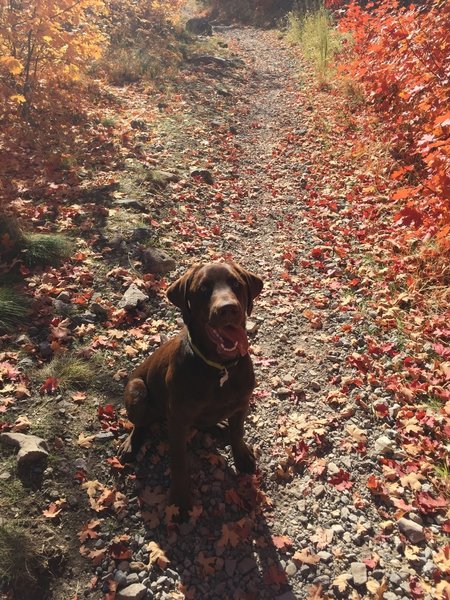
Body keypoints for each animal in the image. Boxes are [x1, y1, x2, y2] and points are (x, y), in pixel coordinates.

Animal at [119, 260, 264, 512]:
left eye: (236, 283)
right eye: (204, 288)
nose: (228, 309)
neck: (219, 368)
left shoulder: (241, 403)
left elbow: (237, 433)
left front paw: (242, 457)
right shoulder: (177, 419)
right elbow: (179, 463)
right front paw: (180, 500)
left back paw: (220, 428)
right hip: (137, 389)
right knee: (141, 423)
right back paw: (131, 443)